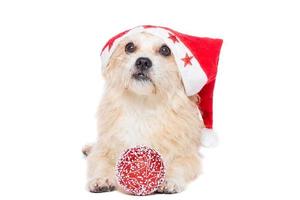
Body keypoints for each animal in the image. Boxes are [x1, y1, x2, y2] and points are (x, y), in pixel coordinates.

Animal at [82, 31, 204, 194]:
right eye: (129, 47)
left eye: (165, 50)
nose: (143, 62)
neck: (143, 104)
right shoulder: (104, 149)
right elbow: (101, 161)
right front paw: (102, 178)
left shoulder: (188, 155)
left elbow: (179, 165)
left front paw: (169, 179)